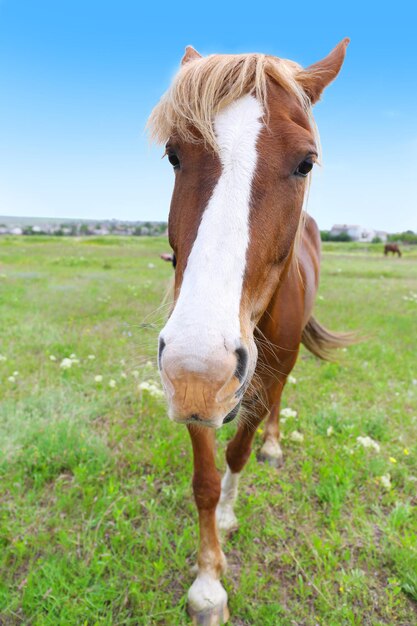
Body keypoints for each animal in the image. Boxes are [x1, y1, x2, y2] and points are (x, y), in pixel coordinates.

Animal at [149, 40, 352, 624]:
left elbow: (236, 456)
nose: (200, 369)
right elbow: (203, 480)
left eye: (306, 161)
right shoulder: (197, 390)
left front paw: (229, 514)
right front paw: (207, 583)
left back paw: (274, 446)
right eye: (174, 154)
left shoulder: (257, 376)